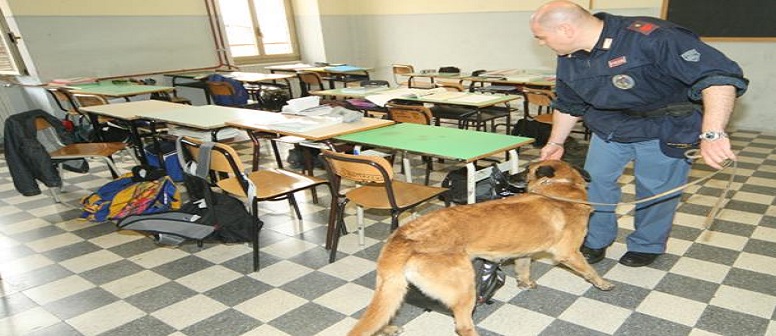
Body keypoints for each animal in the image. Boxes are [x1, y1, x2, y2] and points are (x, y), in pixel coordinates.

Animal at [350, 160, 612, 336]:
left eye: (526, 170)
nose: (509, 175)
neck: (561, 191)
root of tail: (404, 235)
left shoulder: (525, 253)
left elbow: (524, 267)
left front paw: (525, 282)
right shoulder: (570, 253)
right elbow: (589, 271)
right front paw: (601, 283)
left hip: (392, 288)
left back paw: (386, 329)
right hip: (465, 287)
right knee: (463, 325)